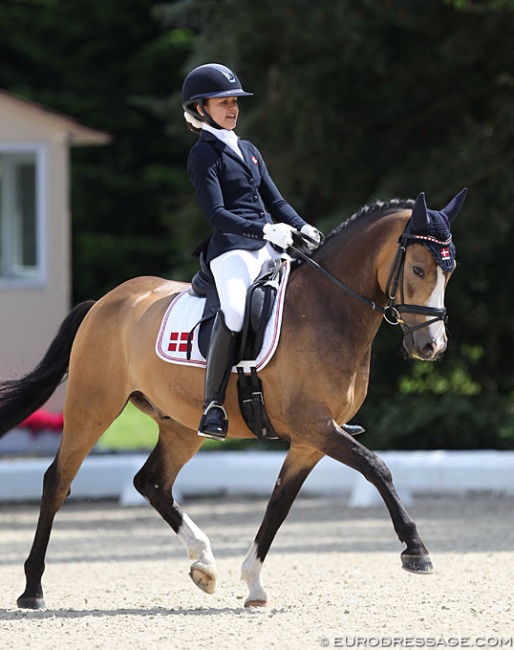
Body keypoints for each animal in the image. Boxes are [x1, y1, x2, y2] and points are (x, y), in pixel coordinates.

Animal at [0, 187, 464, 608]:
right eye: (418, 268)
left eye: (450, 270)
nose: (432, 347)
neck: (327, 310)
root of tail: (106, 302)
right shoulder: (316, 426)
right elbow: (377, 468)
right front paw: (416, 551)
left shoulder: (311, 440)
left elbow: (279, 504)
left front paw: (253, 584)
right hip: (91, 407)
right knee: (58, 480)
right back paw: (32, 590)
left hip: (182, 426)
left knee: (151, 482)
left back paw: (203, 564)